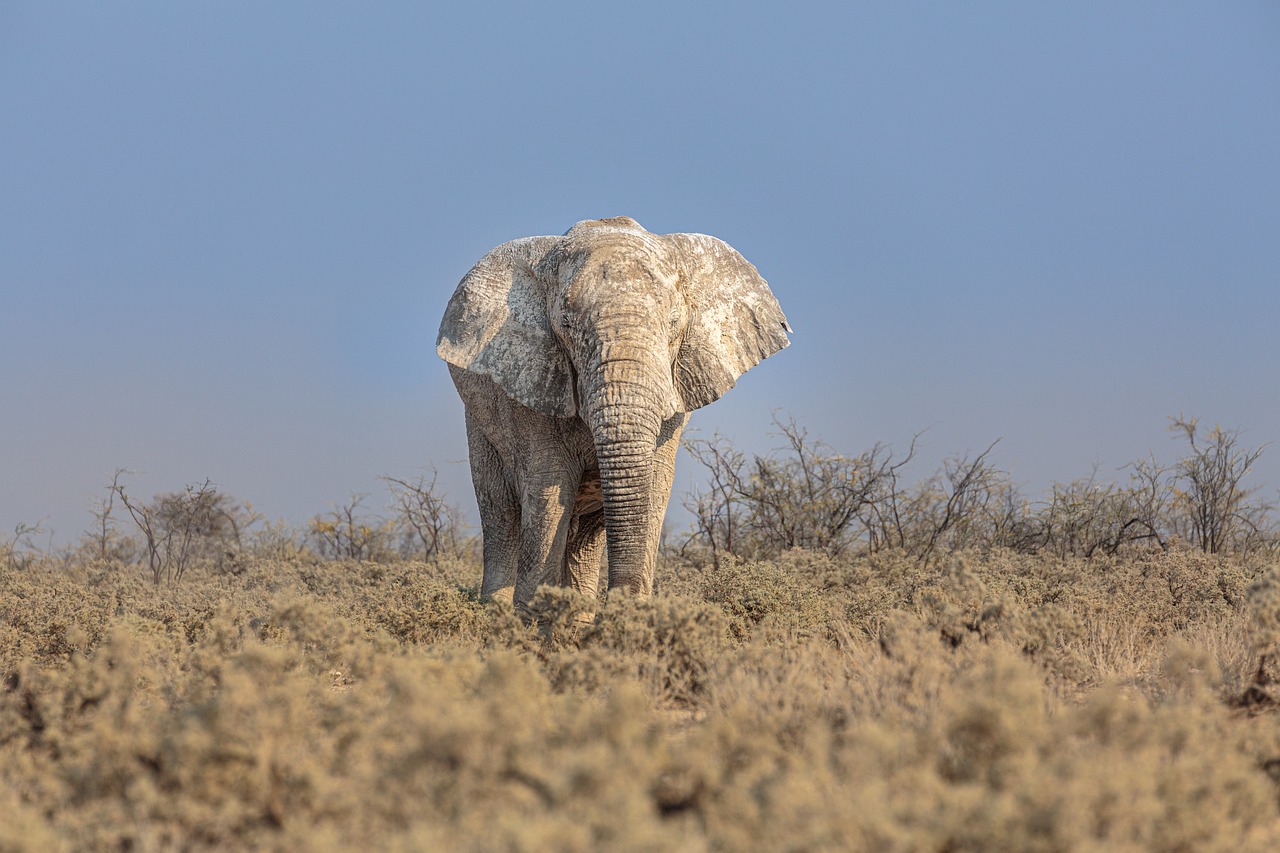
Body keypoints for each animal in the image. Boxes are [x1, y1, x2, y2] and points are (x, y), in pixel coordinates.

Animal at [435, 213, 783, 612]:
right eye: (566, 325)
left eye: (674, 322)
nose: (618, 605)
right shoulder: (530, 383)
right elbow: (548, 490)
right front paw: (530, 622)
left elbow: (654, 488)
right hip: (479, 422)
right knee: (502, 515)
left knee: (584, 536)